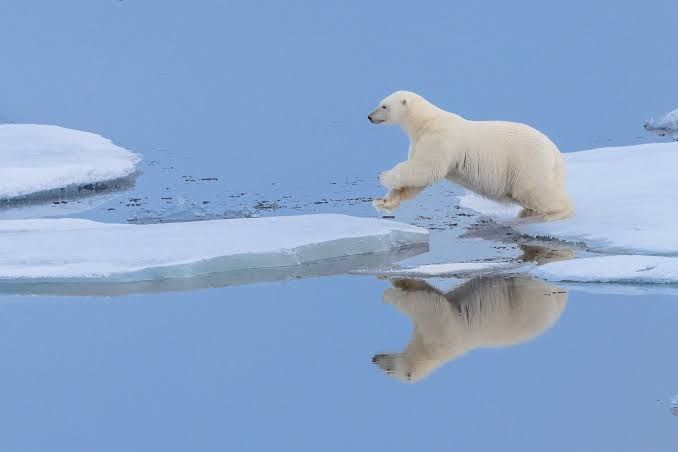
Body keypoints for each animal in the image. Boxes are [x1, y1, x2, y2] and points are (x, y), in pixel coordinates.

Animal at [368, 91, 574, 221]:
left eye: (383, 106)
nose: (369, 116)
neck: (425, 122)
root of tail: (554, 151)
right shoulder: (419, 142)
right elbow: (416, 180)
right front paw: (383, 202)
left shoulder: (440, 140)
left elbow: (425, 168)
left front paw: (383, 176)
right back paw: (528, 212)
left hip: (527, 162)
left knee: (534, 190)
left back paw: (554, 212)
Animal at [372, 276, 567, 382]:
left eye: (388, 371)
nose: (374, 359)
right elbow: (425, 288)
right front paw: (398, 280)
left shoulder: (441, 329)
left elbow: (425, 302)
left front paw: (388, 295)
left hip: (530, 298)